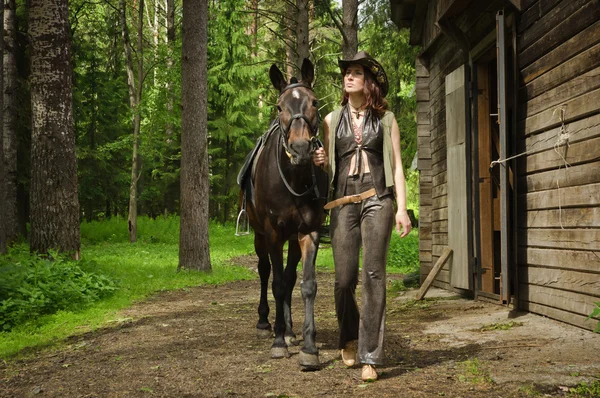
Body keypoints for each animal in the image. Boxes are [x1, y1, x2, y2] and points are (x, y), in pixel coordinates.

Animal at [241, 59, 328, 370]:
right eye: (279, 107)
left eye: (314, 102)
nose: (301, 149)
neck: (293, 177)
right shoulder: (273, 233)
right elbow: (277, 284)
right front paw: (278, 342)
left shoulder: (309, 232)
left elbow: (306, 285)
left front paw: (309, 347)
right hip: (260, 236)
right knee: (265, 271)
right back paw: (266, 322)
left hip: (293, 238)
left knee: (290, 277)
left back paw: (290, 330)